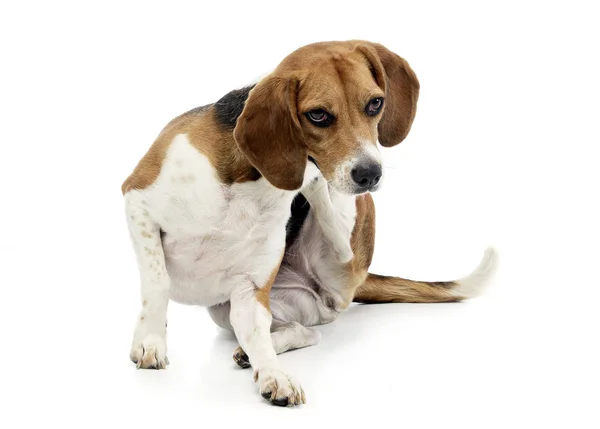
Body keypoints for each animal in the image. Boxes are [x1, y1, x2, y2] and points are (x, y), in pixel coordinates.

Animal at [120, 41, 496, 406]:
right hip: (228, 310)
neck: (250, 178)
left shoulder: (251, 292)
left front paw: (274, 375)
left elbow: (258, 334)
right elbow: (159, 282)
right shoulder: (137, 201)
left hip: (338, 256)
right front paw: (151, 342)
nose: (370, 173)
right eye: (318, 115)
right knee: (305, 329)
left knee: (314, 315)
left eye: (375, 104)